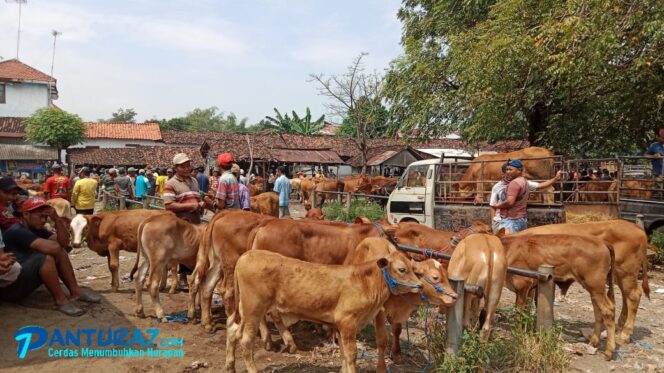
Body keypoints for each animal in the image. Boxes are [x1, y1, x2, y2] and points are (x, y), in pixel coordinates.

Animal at [223, 247, 420, 372]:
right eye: (402, 269)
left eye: (413, 268)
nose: (419, 285)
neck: (366, 282)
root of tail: (247, 254)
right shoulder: (347, 321)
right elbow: (351, 354)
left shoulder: (340, 325)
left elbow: (343, 353)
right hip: (254, 309)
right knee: (246, 340)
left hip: (244, 309)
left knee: (232, 330)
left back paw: (230, 366)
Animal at [516, 218, 652, 342]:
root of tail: (635, 226)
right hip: (620, 275)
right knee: (625, 296)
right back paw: (618, 328)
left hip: (625, 272)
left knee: (634, 295)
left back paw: (626, 333)